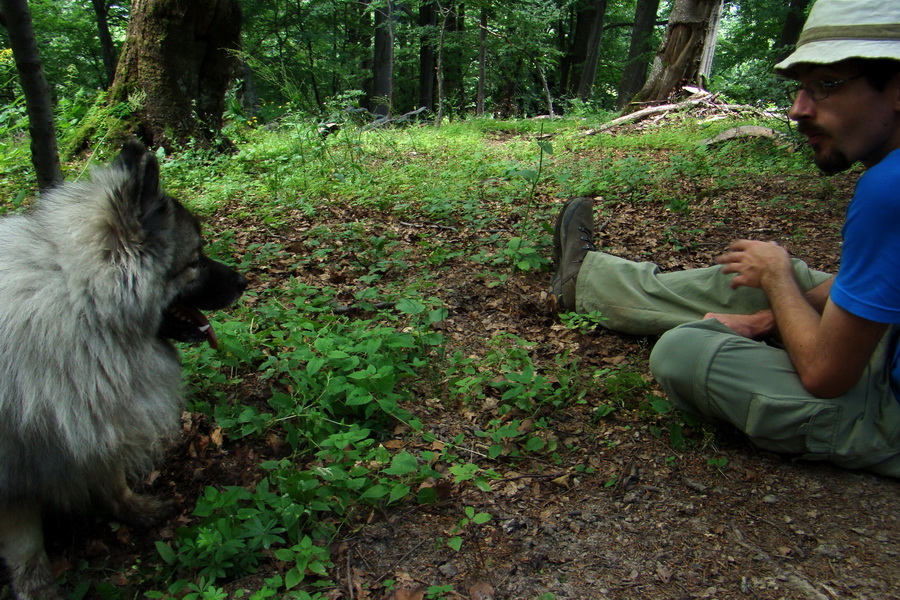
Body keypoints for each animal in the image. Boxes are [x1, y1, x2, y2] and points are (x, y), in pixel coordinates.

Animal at [0, 142, 246, 600]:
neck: (81, 308)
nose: (243, 281)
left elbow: (110, 474)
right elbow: (26, 549)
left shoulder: (96, 417)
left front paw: (134, 508)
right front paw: (37, 587)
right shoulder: (19, 466)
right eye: (195, 261)